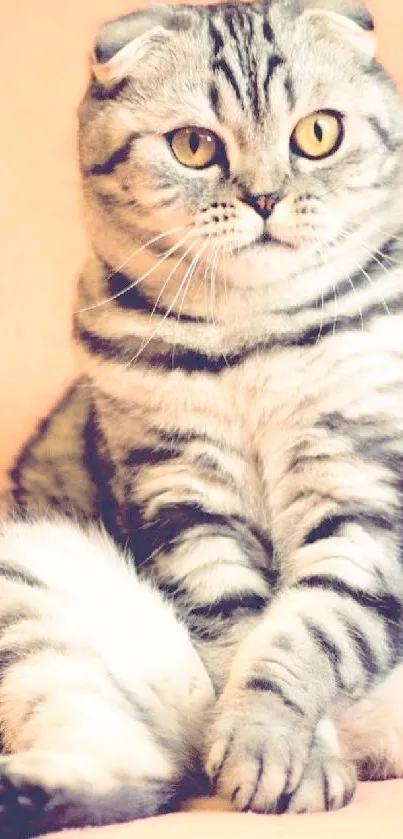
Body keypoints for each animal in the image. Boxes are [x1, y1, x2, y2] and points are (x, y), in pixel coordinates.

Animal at [0, 0, 403, 836]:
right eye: (194, 146)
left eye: (317, 133)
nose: (264, 197)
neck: (254, 337)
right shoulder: (185, 501)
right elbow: (246, 631)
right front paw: (290, 761)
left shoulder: (362, 498)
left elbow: (307, 631)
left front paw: (267, 744)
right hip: (29, 575)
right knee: (137, 766)